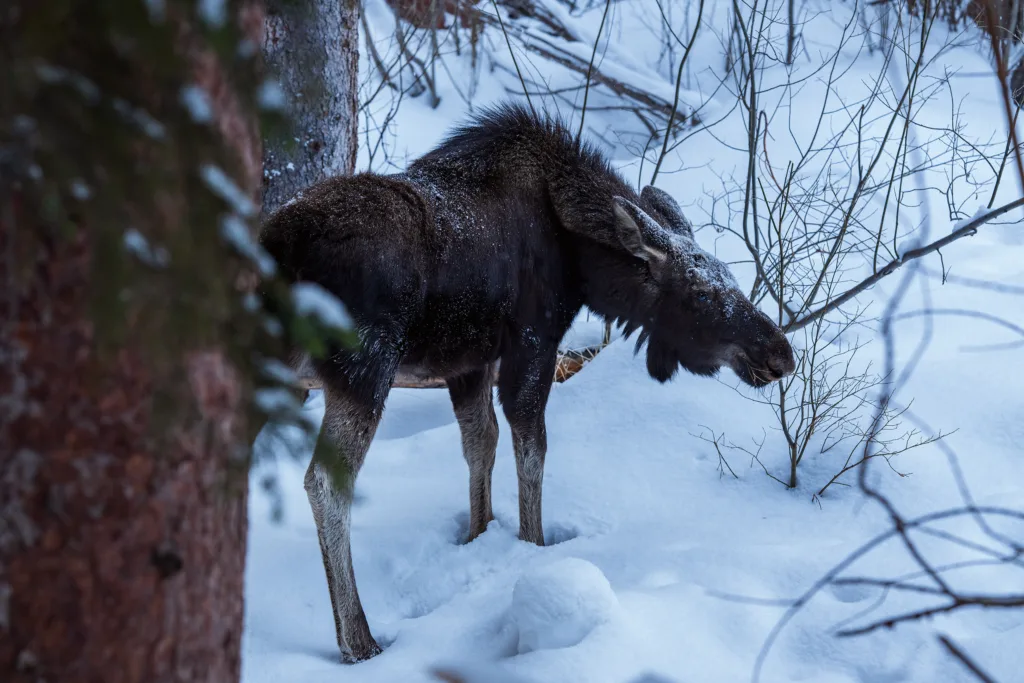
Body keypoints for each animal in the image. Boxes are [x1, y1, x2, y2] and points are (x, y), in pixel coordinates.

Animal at [260, 105, 794, 663]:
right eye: (702, 294)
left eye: (731, 278)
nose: (780, 353)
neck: (580, 267)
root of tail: (279, 245)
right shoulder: (533, 342)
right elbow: (531, 449)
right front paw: (532, 545)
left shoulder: (468, 363)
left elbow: (481, 444)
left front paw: (479, 535)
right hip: (366, 366)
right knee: (325, 482)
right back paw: (358, 639)